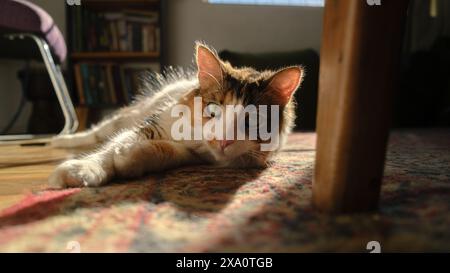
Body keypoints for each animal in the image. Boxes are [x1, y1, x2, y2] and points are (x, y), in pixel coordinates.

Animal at [48, 42, 302, 187]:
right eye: (213, 110)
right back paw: (59, 140)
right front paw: (83, 169)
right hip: (126, 116)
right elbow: (112, 146)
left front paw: (128, 158)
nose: (223, 141)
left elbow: (163, 150)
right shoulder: (155, 123)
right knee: (95, 133)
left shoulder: (191, 155)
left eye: (253, 120)